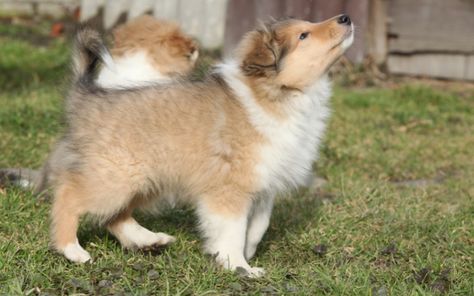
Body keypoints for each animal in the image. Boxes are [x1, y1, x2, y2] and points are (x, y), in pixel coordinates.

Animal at [47, 15, 352, 276]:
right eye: (303, 35)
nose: (345, 18)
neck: (278, 94)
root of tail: (87, 95)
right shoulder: (229, 188)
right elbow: (233, 230)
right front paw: (239, 266)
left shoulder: (265, 182)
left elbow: (258, 225)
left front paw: (248, 251)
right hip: (117, 176)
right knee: (69, 196)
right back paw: (72, 249)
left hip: (146, 179)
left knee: (115, 216)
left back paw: (147, 239)